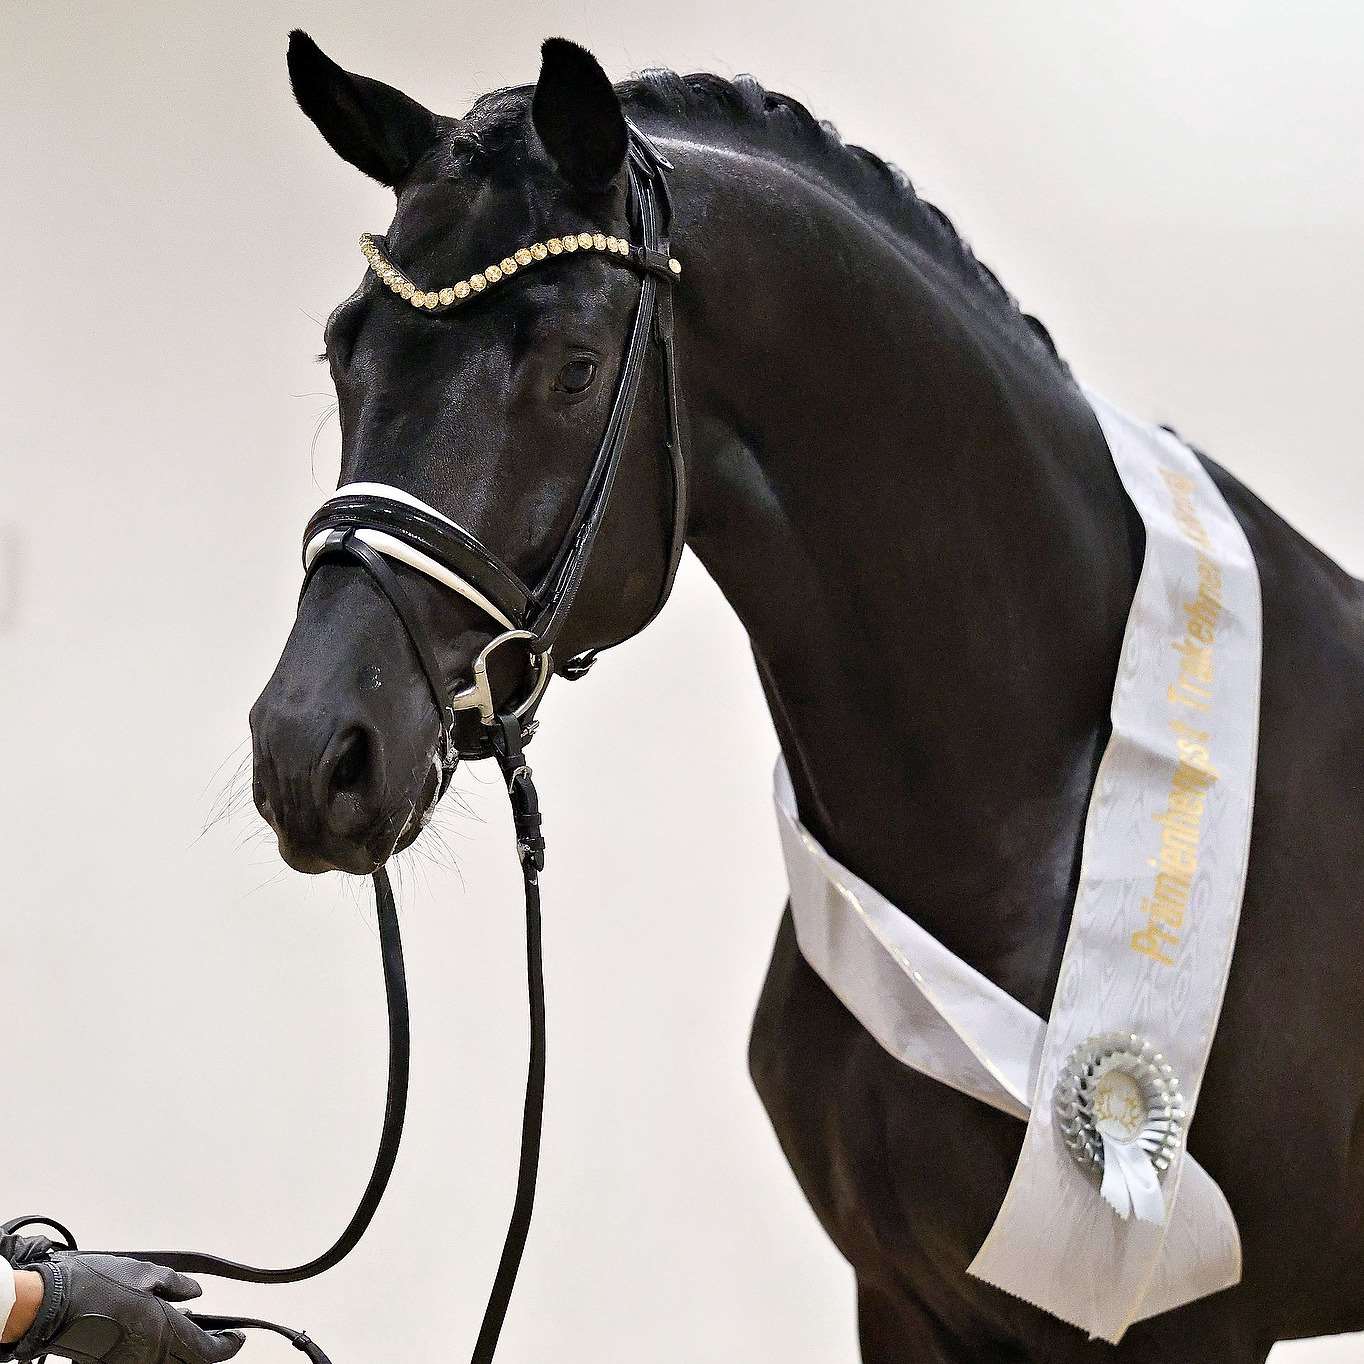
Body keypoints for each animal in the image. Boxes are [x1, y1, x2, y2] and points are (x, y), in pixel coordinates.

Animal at [249, 31, 1364, 1363]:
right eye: (342, 345)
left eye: (574, 366)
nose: (311, 749)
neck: (1038, 808)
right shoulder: (897, 1292)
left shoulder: (1182, 1325)